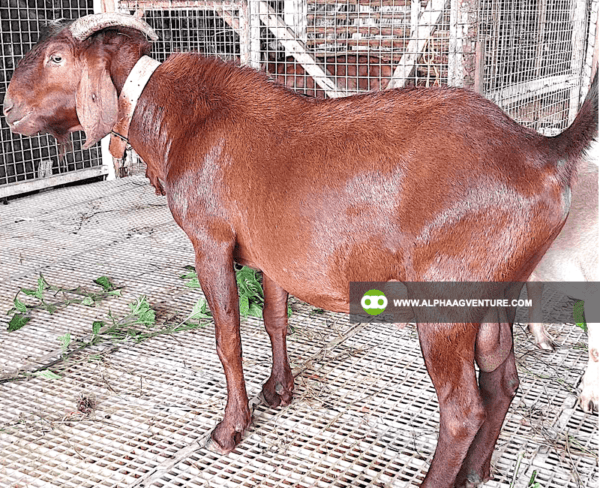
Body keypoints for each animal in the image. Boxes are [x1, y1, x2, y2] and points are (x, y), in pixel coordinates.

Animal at [2, 13, 596, 486]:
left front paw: (231, 428)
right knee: (502, 379)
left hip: (448, 295)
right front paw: (279, 391)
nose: (8, 109)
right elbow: (275, 319)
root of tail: (542, 149)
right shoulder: (270, 251)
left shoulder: (210, 241)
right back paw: (477, 469)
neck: (174, 117)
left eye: (57, 57)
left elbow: (228, 338)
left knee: (461, 408)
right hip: (500, 285)